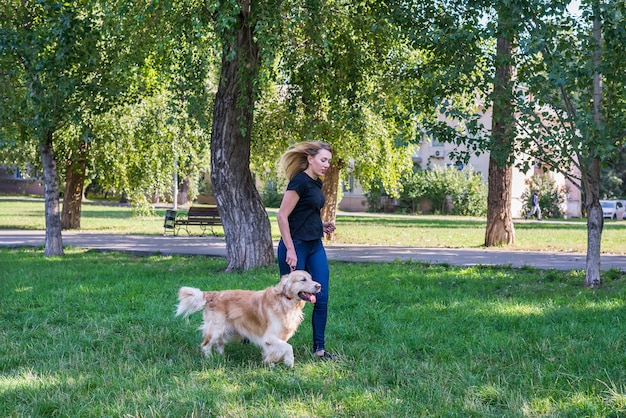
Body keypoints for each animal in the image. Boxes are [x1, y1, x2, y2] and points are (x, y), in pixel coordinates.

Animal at [177, 272, 320, 366]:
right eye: (303, 280)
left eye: (311, 278)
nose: (319, 286)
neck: (285, 301)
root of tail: (212, 294)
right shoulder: (269, 337)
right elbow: (288, 347)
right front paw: (289, 362)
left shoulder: (277, 338)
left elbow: (276, 350)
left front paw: (271, 363)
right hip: (216, 328)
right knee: (206, 345)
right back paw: (209, 359)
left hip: (225, 329)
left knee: (220, 343)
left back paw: (221, 358)